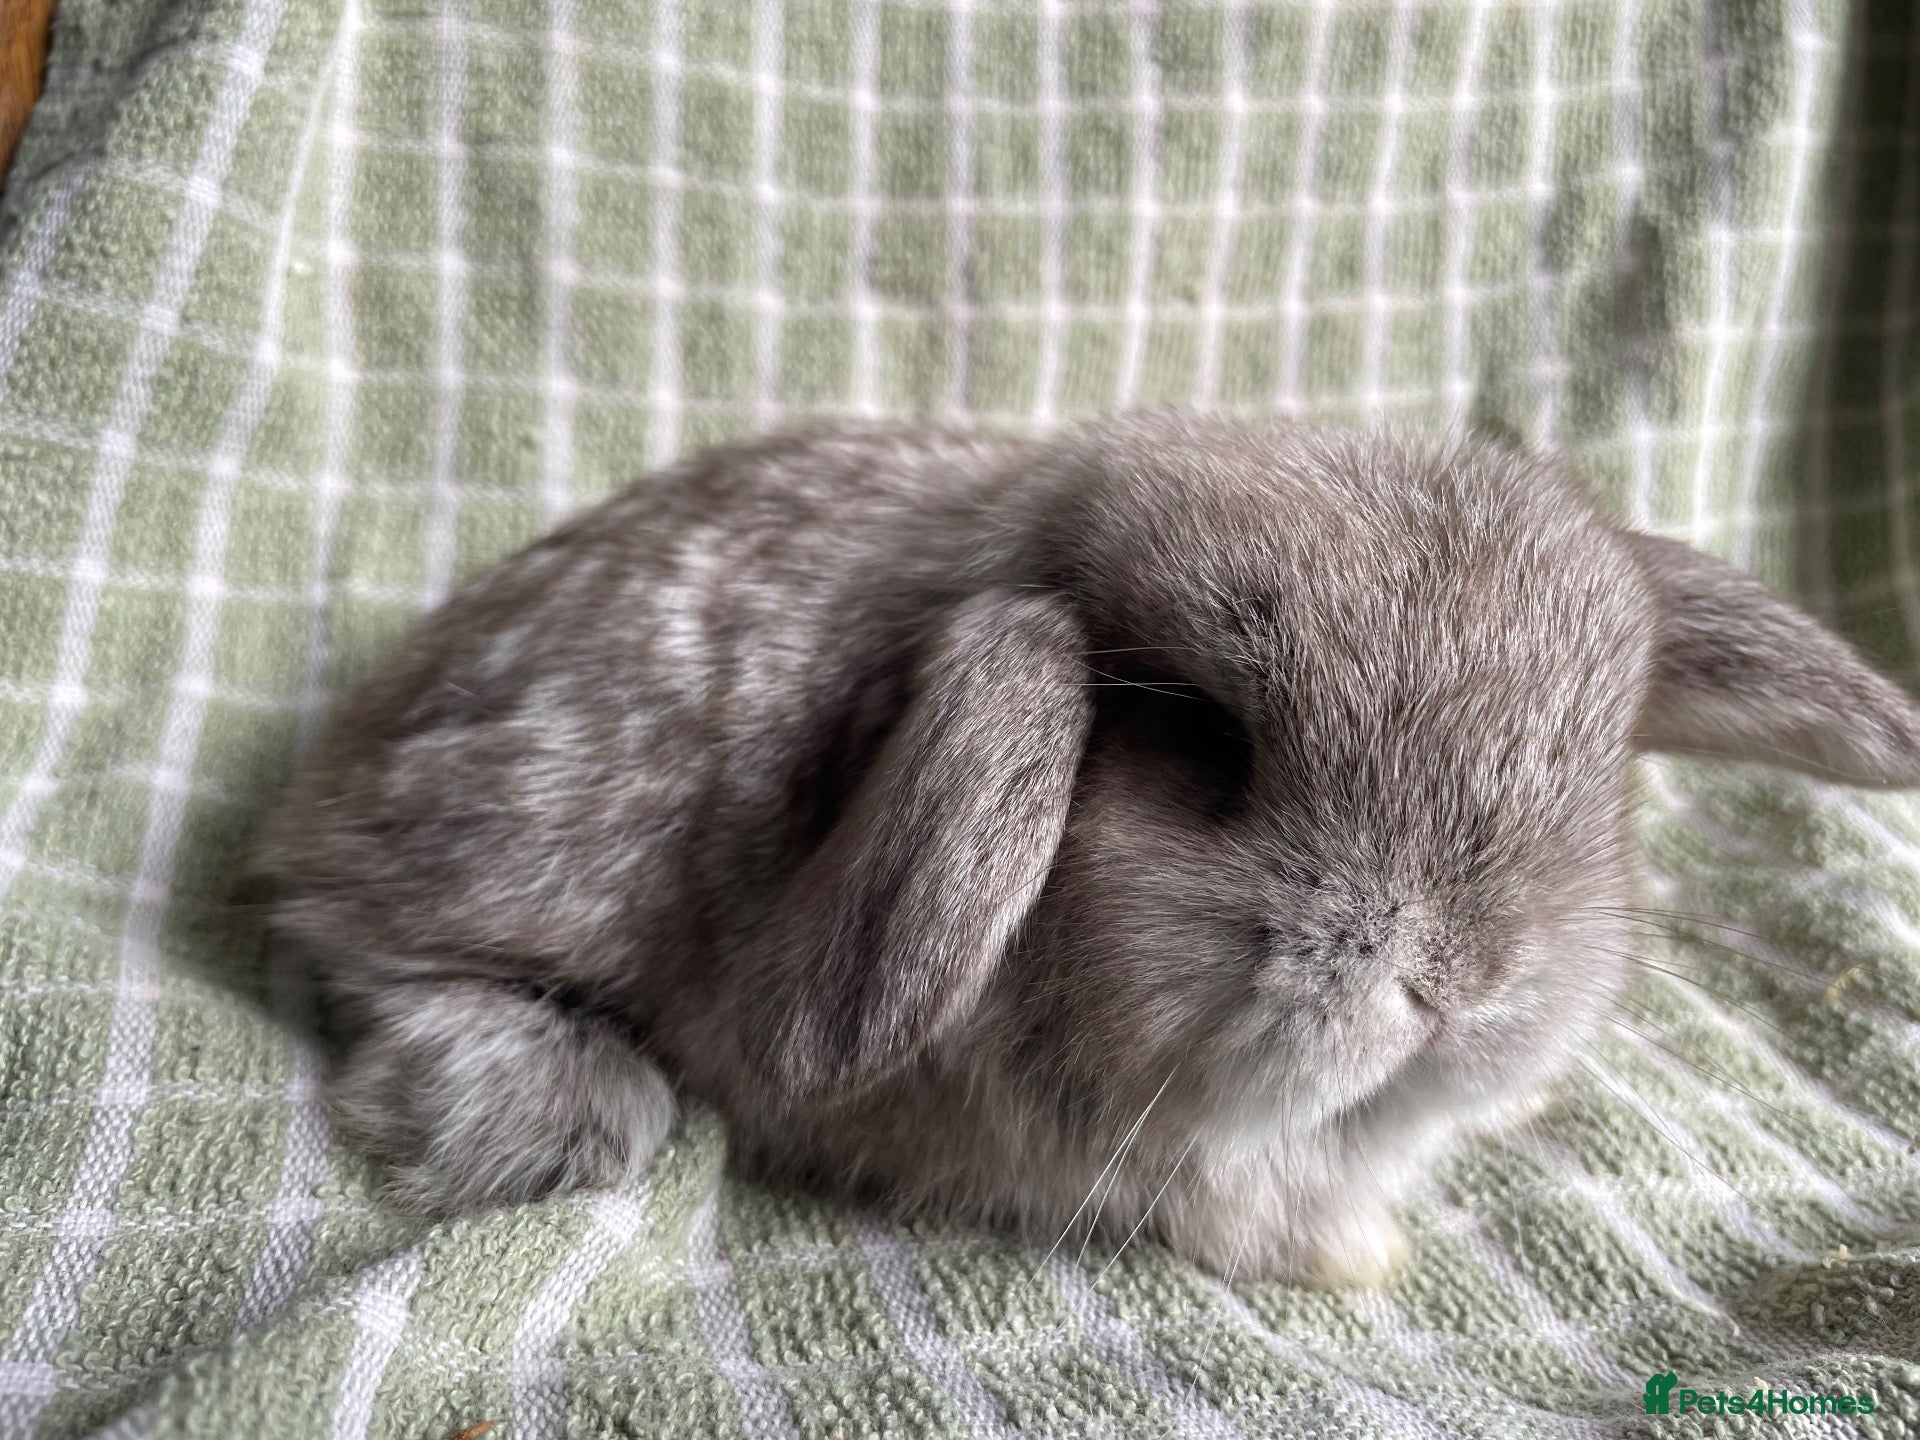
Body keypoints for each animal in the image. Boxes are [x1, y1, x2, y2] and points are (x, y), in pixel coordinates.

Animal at [261, 413, 1920, 1287]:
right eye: (1201, 742)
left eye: (1588, 775)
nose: (1462, 980)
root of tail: (332, 766)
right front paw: (1362, 1253)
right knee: (375, 965)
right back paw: (551, 1105)